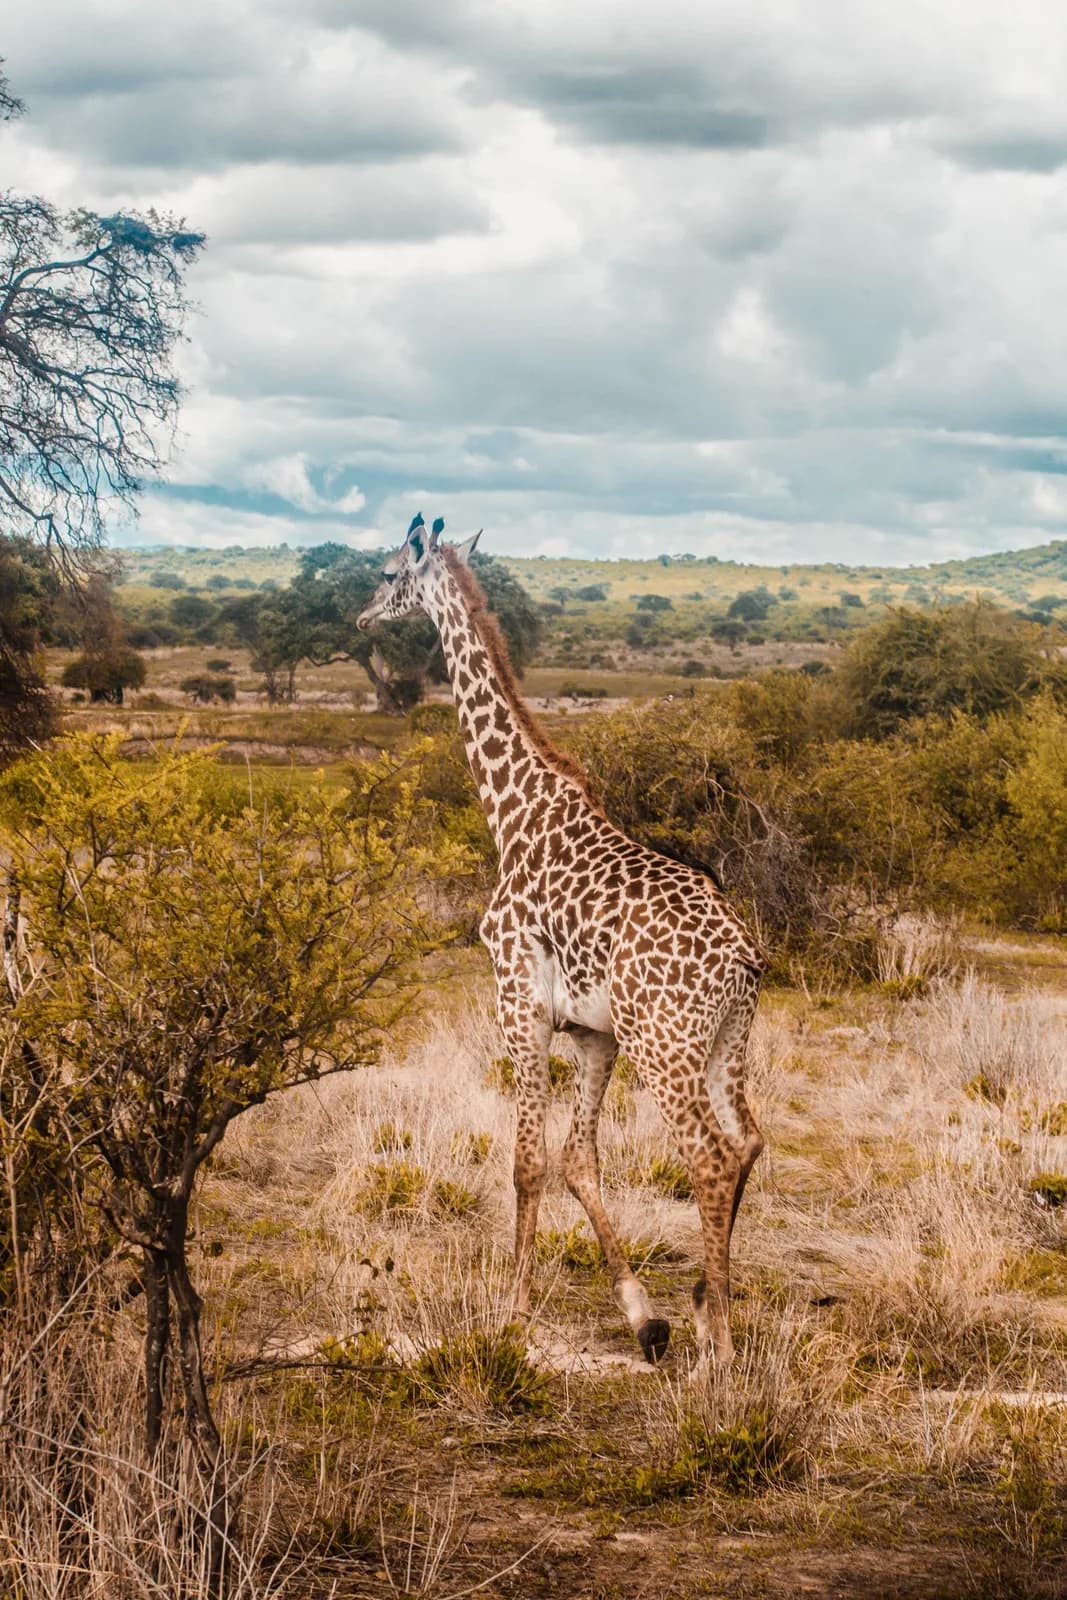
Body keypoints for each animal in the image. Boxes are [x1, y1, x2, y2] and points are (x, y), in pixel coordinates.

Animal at [356, 514, 766, 1363]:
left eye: (386, 573)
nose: (360, 617)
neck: (513, 812)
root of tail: (742, 959)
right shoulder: (591, 1034)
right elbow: (580, 1161)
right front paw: (642, 1313)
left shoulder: (519, 1003)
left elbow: (526, 1162)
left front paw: (511, 1313)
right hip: (724, 1041)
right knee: (747, 1141)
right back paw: (707, 1302)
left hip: (664, 1044)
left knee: (708, 1155)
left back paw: (717, 1342)